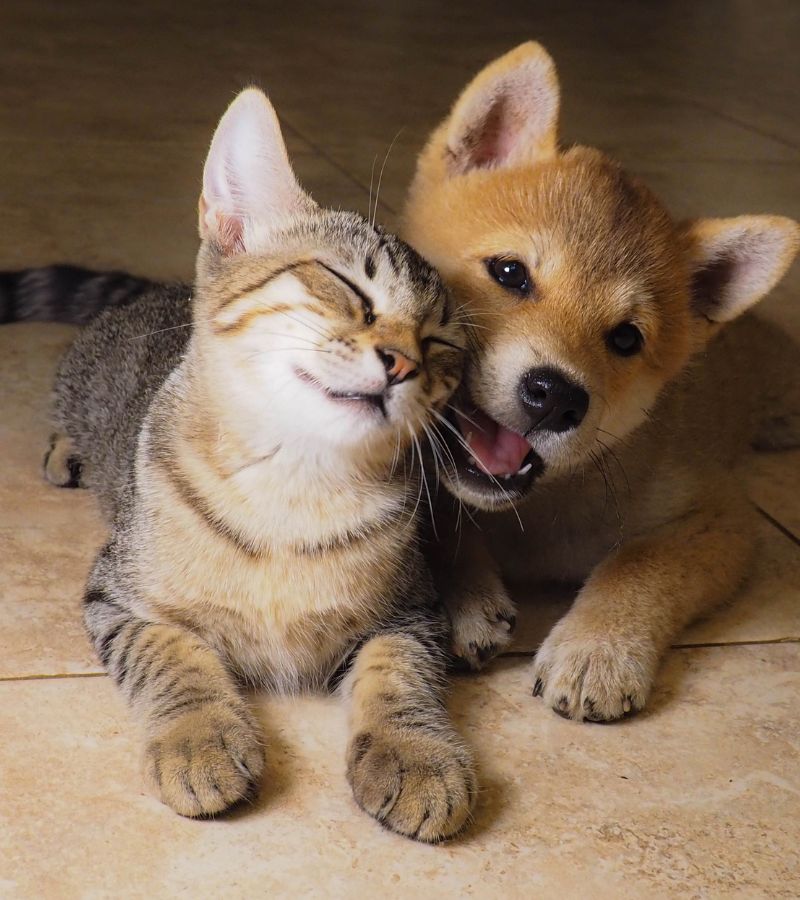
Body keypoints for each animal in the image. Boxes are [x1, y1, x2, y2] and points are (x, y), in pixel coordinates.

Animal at [6, 88, 472, 840]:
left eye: (441, 344)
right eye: (345, 285)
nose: (403, 362)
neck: (293, 486)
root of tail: (157, 289)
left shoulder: (412, 611)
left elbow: (402, 673)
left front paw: (416, 751)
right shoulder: (116, 595)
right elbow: (174, 656)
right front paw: (198, 738)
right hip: (83, 383)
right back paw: (66, 449)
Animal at [406, 42, 800, 724]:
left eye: (625, 339)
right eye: (509, 273)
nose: (557, 396)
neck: (532, 514)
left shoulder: (721, 516)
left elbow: (637, 565)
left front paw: (598, 648)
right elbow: (443, 517)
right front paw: (463, 595)